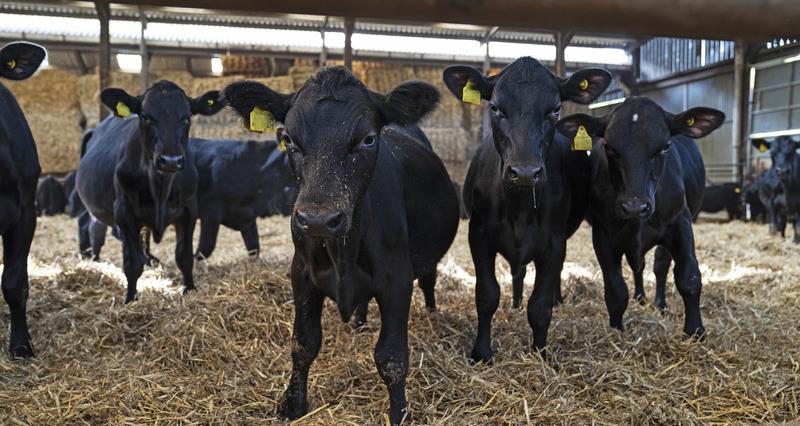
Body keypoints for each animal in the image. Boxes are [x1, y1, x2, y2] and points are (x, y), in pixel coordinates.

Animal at [74, 80, 222, 302]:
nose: (171, 160)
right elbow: (132, 263)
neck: (160, 187)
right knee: (90, 226)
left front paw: (189, 290)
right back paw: (92, 260)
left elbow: (184, 257)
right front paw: (130, 299)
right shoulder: (124, 211)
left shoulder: (189, 210)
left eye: (187, 117)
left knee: (98, 229)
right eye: (146, 116)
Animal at [225, 66, 460, 422]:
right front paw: (293, 404)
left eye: (368, 138)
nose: (319, 220)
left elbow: (392, 357)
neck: (343, 254)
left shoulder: (397, 278)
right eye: (288, 139)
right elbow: (303, 343)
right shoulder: (302, 274)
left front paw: (399, 413)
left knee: (429, 281)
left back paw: (432, 314)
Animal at [440, 56, 608, 362]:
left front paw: (540, 353)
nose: (526, 172)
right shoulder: (478, 234)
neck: (519, 209)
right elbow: (487, 295)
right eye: (495, 107)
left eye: (555, 108)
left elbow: (540, 306)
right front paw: (481, 352)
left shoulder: (554, 241)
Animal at [556, 98, 724, 338]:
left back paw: (659, 304)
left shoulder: (680, 223)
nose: (634, 207)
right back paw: (640, 298)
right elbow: (616, 290)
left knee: (660, 265)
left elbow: (689, 277)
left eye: (665, 146)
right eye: (609, 147)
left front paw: (695, 331)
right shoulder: (602, 235)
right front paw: (617, 332)